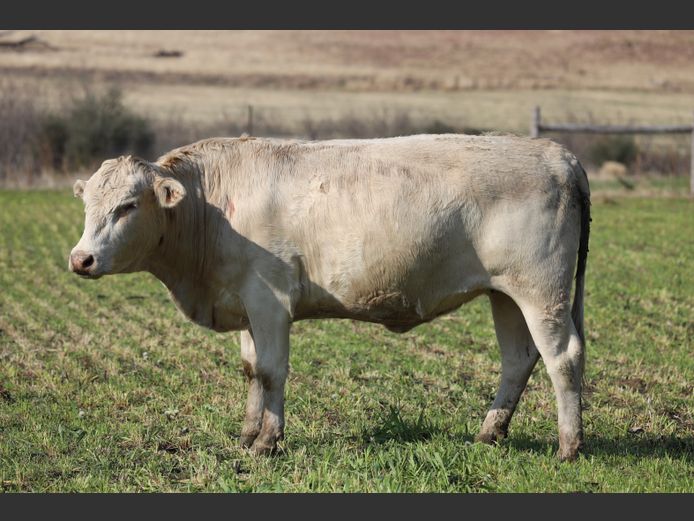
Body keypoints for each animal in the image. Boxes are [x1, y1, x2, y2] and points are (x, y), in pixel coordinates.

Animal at [69, 134, 590, 461]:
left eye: (127, 206)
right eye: (88, 204)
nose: (80, 259)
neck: (210, 207)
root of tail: (557, 154)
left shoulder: (269, 299)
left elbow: (271, 371)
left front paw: (267, 442)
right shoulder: (244, 302)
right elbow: (251, 371)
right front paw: (247, 433)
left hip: (541, 291)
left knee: (562, 357)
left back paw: (569, 446)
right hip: (505, 294)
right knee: (518, 359)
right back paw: (489, 432)